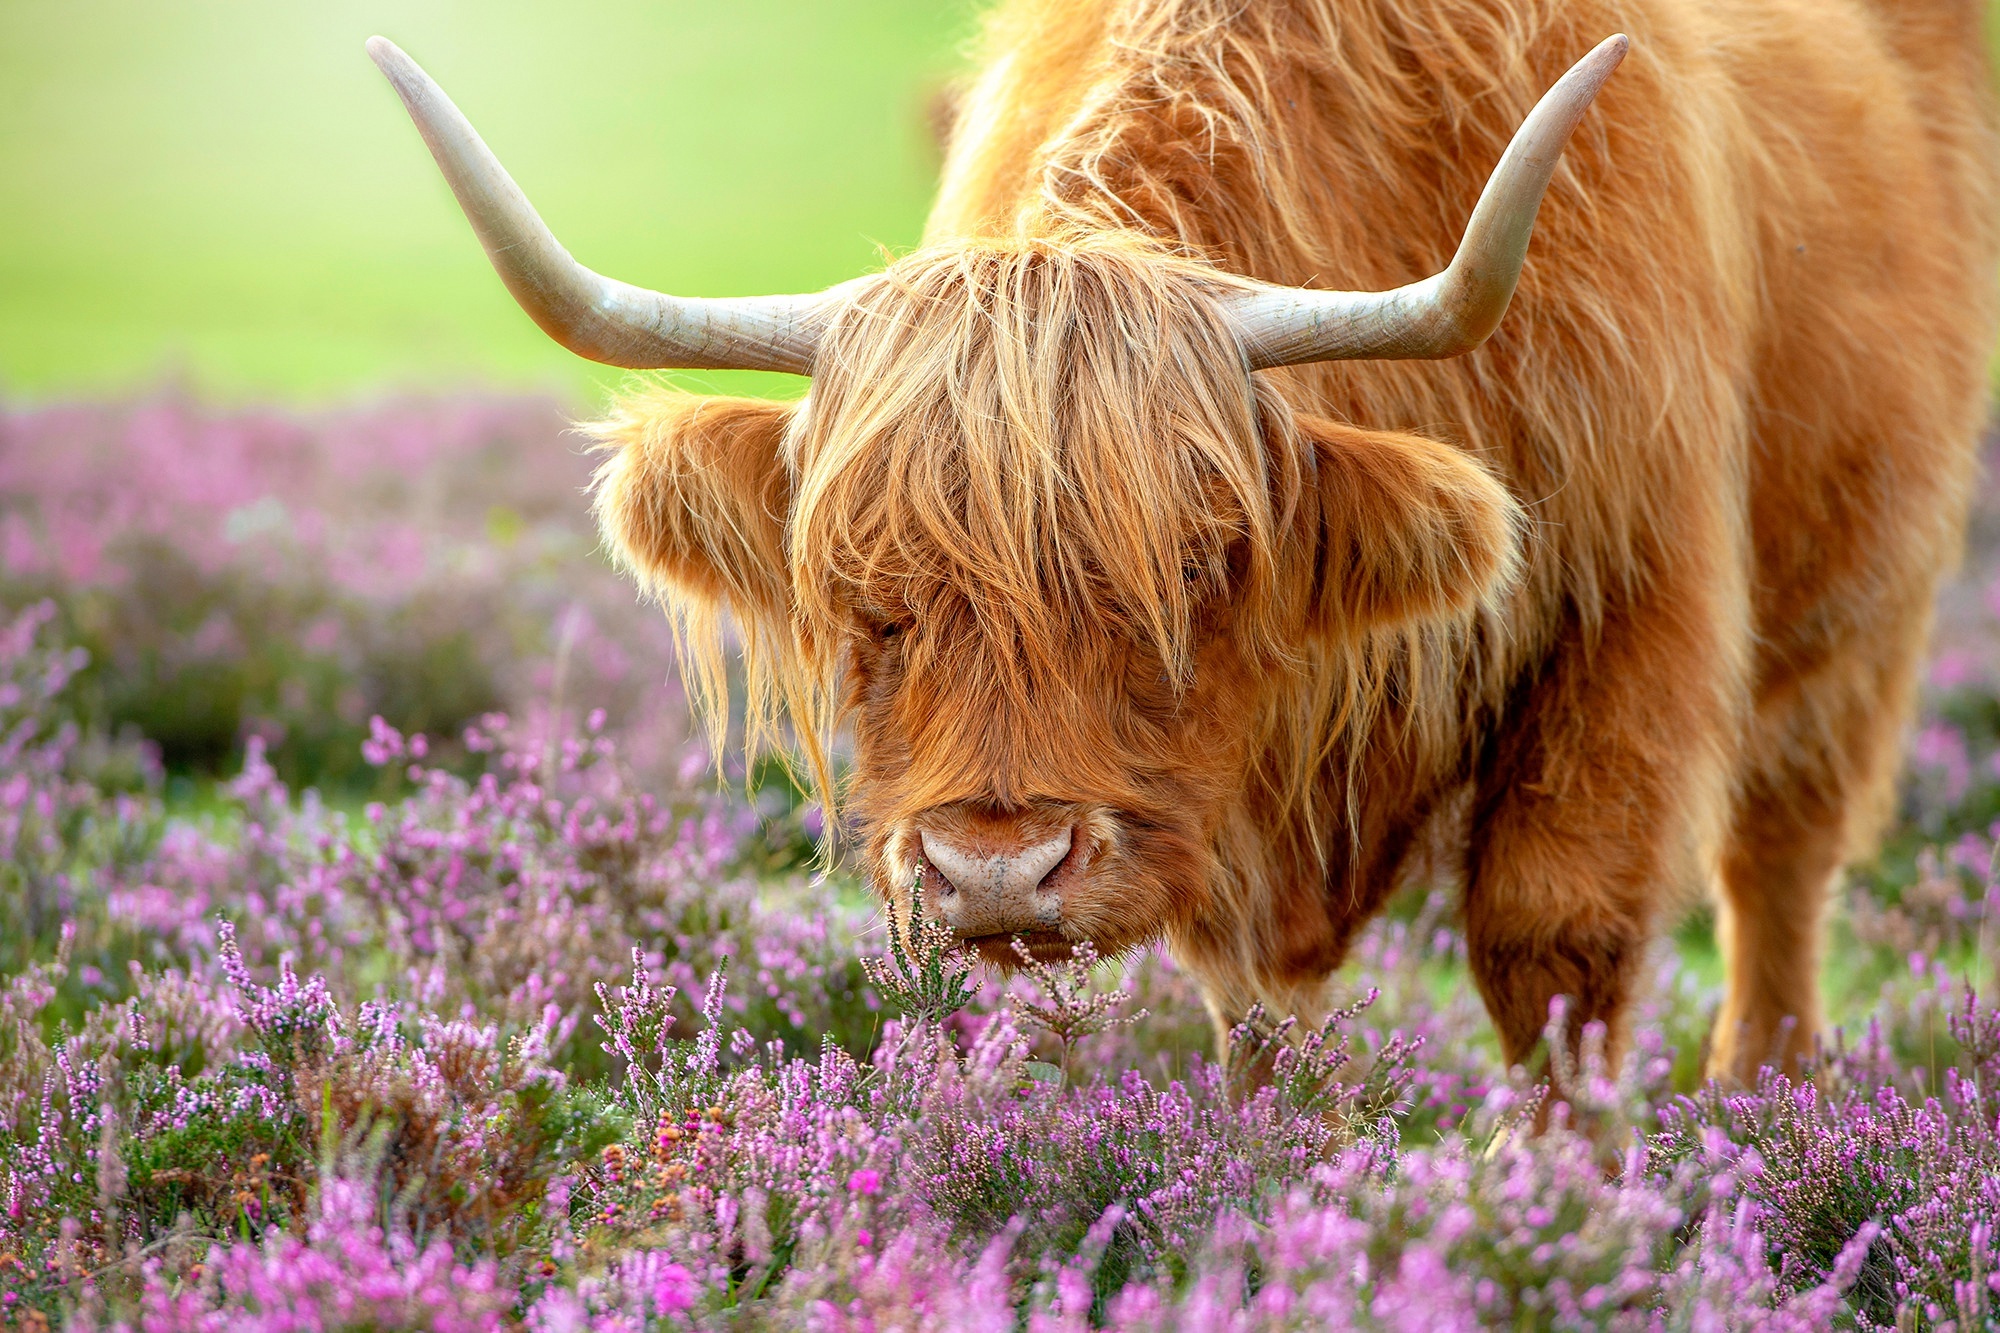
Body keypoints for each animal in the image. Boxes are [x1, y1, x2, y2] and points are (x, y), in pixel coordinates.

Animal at [376, 0, 2000, 1072]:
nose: (996, 873)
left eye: (1197, 567)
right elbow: (1261, 1005)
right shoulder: (1236, 802)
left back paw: (1763, 1100)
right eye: (864, 596)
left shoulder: (1632, 610)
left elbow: (1557, 943)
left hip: (1869, 597)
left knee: (1779, 863)